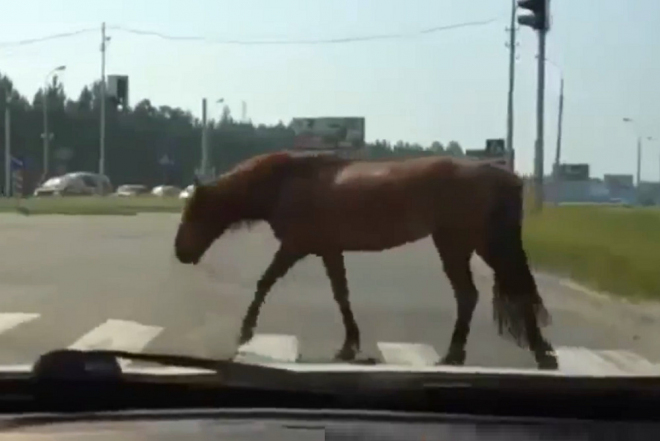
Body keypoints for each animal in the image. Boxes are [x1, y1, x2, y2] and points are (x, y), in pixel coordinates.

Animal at [174, 151, 556, 368]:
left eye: (194, 211)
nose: (180, 252)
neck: (285, 182)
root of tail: (500, 174)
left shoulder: (295, 247)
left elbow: (265, 281)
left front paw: (245, 330)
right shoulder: (329, 250)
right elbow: (341, 295)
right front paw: (348, 345)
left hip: (463, 242)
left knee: (486, 292)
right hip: (469, 244)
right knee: (492, 291)